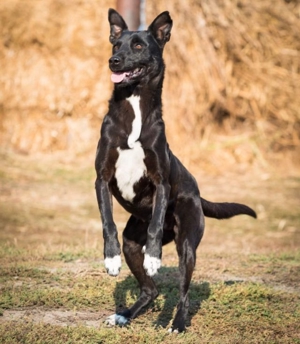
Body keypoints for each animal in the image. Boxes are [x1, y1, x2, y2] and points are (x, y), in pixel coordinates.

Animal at [95, 8, 256, 334]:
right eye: (116, 44)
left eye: (138, 46)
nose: (113, 60)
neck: (134, 109)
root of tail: (197, 191)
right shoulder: (101, 178)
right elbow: (108, 221)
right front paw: (111, 259)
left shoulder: (161, 182)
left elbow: (156, 223)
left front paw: (155, 258)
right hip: (133, 242)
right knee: (151, 289)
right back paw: (124, 315)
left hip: (187, 244)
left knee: (184, 291)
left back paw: (178, 323)